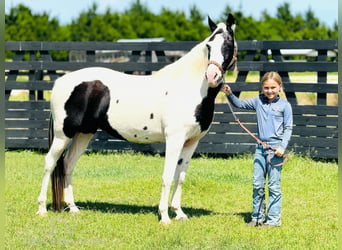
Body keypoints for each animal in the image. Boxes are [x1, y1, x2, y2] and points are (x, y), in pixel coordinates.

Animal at [35, 14, 238, 225]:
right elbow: (167, 176)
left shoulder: (191, 142)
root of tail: (60, 81)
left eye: (228, 44)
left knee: (68, 164)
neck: (189, 87)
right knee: (50, 162)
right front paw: (165, 216)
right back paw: (42, 209)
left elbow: (180, 176)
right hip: (63, 134)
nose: (212, 76)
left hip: (84, 134)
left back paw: (73, 208)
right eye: (209, 45)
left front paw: (179, 213)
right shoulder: (174, 139)